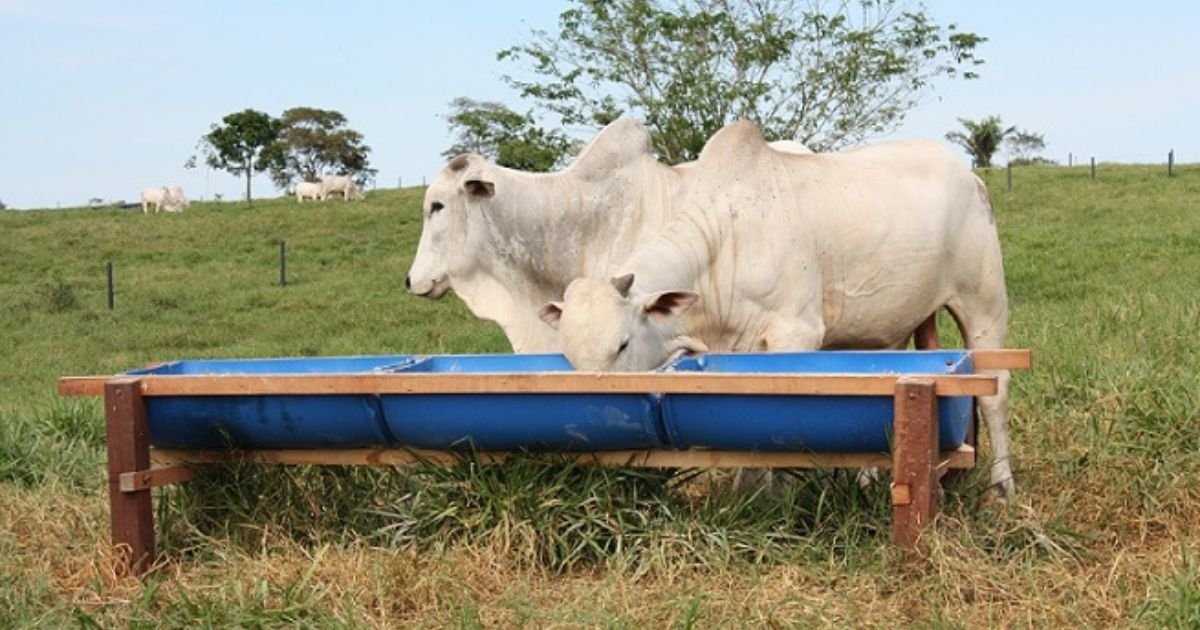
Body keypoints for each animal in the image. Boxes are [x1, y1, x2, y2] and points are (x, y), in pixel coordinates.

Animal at [540, 119, 1017, 496]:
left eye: (621, 345)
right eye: (569, 354)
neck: (725, 240)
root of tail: (971, 177)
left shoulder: (796, 332)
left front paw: (774, 496)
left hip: (984, 303)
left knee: (995, 394)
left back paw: (1002, 487)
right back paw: (868, 481)